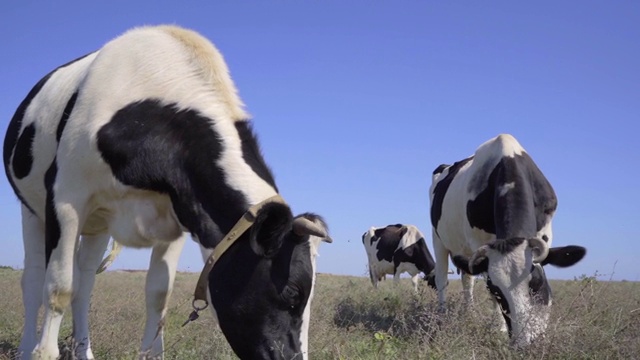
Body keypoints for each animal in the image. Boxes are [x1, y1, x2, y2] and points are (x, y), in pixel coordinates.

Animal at [5, 25, 332, 360]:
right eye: (292, 291)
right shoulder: (67, 198)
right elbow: (58, 287)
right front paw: (43, 353)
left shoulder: (177, 217)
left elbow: (158, 294)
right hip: (32, 210)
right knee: (34, 280)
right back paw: (26, 348)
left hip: (98, 224)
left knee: (84, 285)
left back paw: (84, 351)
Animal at [430, 134, 584, 348]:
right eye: (498, 292)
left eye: (537, 283)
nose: (526, 343)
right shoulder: (479, 245)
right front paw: (500, 329)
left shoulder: (545, 232)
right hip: (438, 239)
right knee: (442, 278)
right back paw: (442, 315)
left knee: (467, 280)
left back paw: (470, 313)